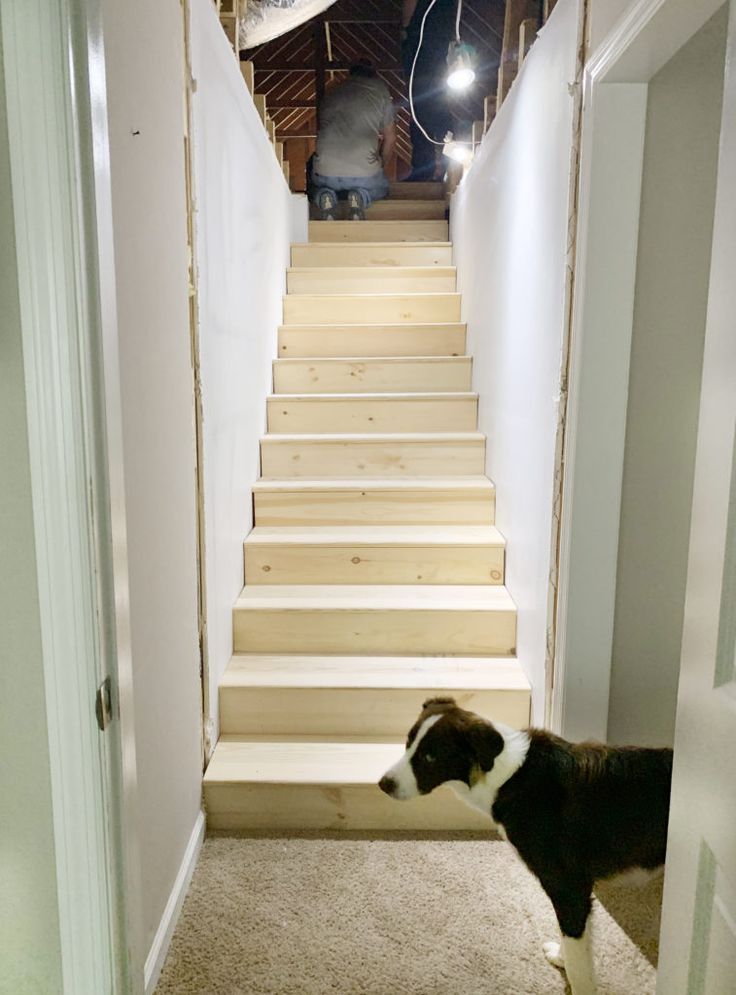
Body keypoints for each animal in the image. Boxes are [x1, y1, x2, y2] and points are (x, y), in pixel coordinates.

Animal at [380, 700, 672, 995]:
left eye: (430, 757)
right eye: (408, 743)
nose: (383, 784)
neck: (508, 777)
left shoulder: (569, 890)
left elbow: (579, 963)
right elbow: (576, 945)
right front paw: (562, 957)